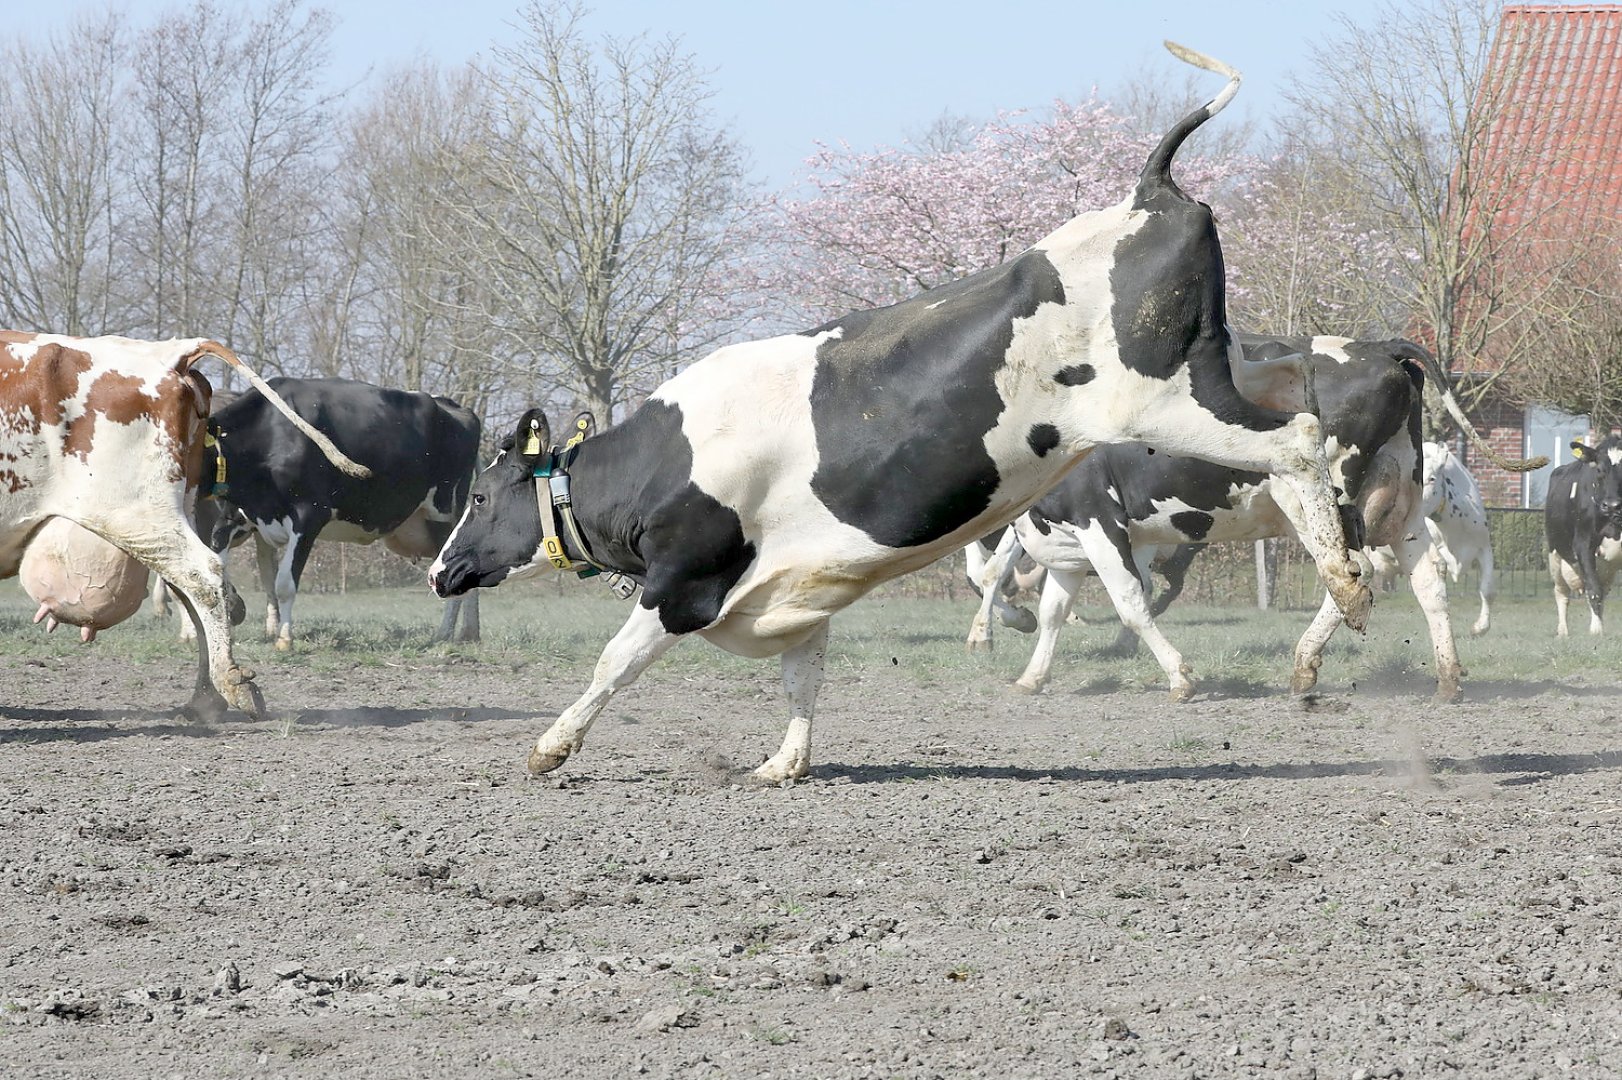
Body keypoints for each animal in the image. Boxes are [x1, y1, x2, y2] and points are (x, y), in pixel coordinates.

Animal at [0, 332, 368, 719]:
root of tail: (170, 352)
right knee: (195, 587)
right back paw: (206, 696)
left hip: (138, 516)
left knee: (203, 577)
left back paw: (229, 682)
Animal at [194, 376, 483, 650]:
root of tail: (456, 406)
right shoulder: (233, 518)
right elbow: (213, 569)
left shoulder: (308, 517)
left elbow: (284, 584)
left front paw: (285, 638)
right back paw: (468, 633)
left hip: (443, 515)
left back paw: (445, 634)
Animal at [427, 43, 1373, 782]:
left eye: (478, 496)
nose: (441, 570)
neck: (664, 460)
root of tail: (1149, 191)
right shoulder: (795, 586)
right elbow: (803, 678)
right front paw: (784, 763)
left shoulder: (683, 581)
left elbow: (612, 664)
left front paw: (551, 748)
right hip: (1221, 372)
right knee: (1297, 410)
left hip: (1165, 399)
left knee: (1298, 444)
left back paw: (1345, 584)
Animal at [965, 337, 1541, 702]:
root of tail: (1379, 347)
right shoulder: (1067, 540)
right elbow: (1052, 612)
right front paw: (1031, 678)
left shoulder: (1098, 518)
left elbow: (1130, 604)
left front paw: (1180, 679)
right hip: (1402, 503)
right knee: (1428, 582)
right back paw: (1447, 680)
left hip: (1318, 500)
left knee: (1353, 575)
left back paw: (1304, 666)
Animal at [1545, 436, 1622, 636]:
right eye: (1599, 470)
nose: (1612, 505)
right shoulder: (1583, 544)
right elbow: (1593, 590)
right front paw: (1596, 630)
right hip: (1555, 553)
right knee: (1562, 593)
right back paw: (1563, 631)